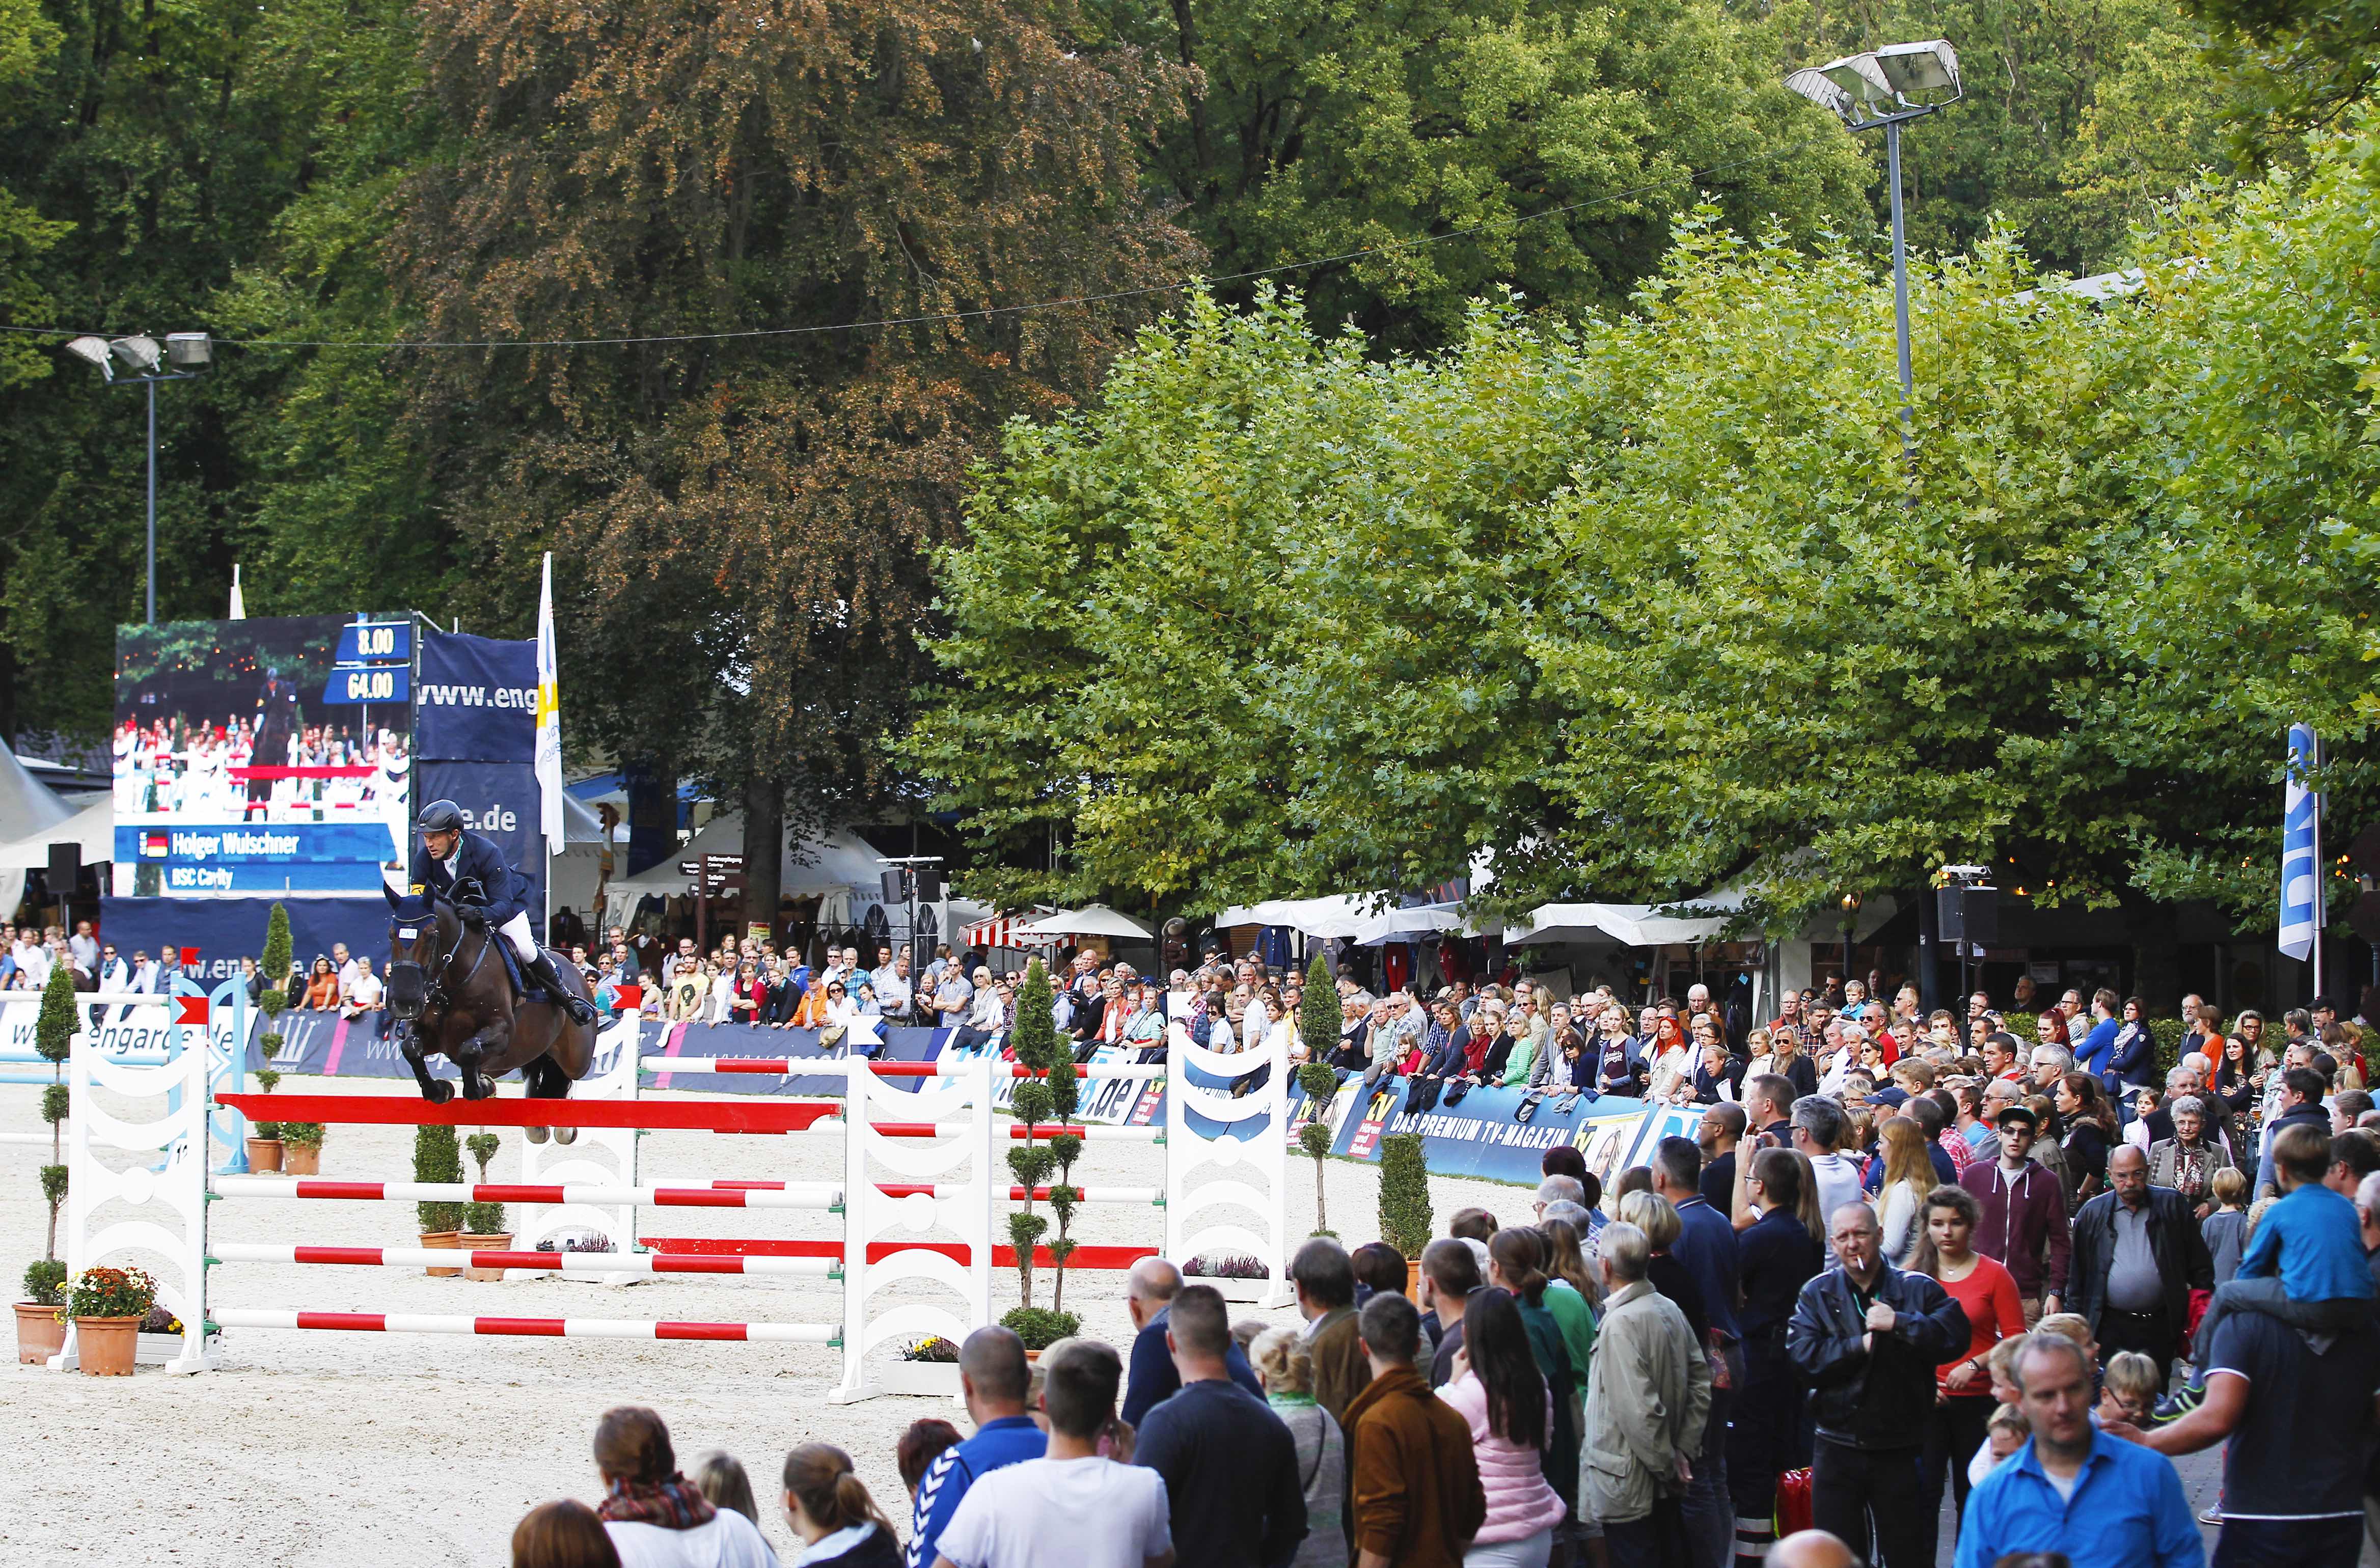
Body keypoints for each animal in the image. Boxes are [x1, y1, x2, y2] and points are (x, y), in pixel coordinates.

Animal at [383, 885, 599, 1142]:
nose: (403, 1001)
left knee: (570, 1074)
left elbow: (470, 1050)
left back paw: (565, 1128)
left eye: (430, 934)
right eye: (391, 935)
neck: (453, 981)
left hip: (575, 1056)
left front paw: (479, 1088)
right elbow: (411, 1048)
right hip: (515, 1058)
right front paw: (440, 1090)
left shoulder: (502, 1032)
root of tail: (576, 971)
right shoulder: (431, 1035)